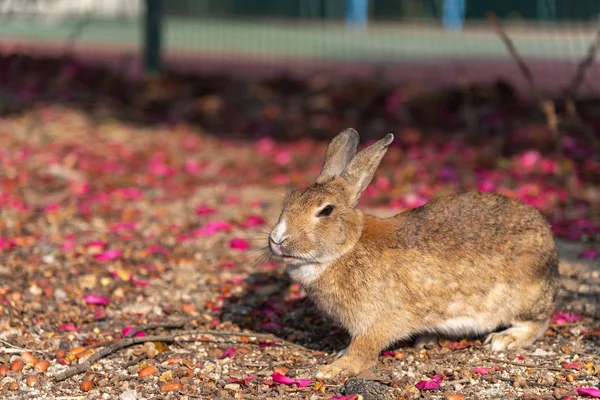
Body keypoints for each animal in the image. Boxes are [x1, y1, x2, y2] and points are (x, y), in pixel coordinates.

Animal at [270, 130, 560, 380]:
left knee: (538, 323)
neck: (348, 247)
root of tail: (549, 244)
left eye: (326, 210)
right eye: (289, 199)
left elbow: (364, 350)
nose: (277, 239)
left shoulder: (377, 323)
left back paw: (504, 339)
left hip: (524, 296)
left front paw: (334, 369)